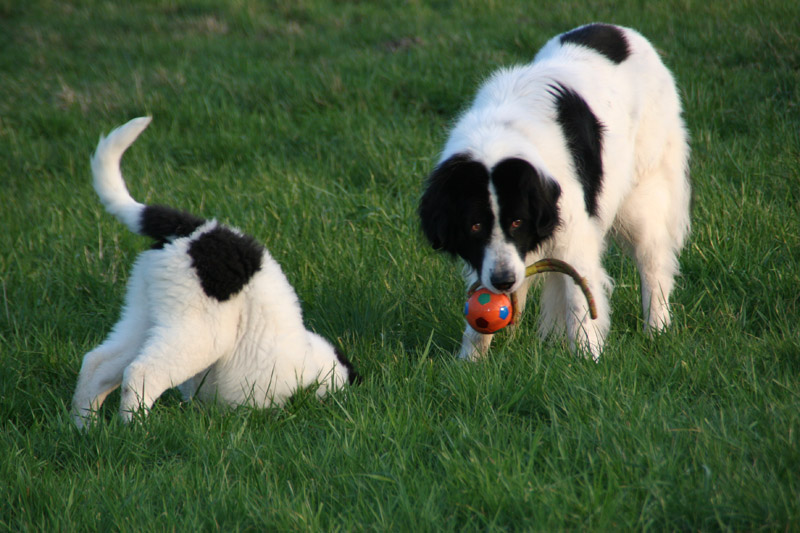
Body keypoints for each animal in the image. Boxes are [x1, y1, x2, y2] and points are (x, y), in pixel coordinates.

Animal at [73, 117, 358, 428]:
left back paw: (84, 428)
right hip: (200, 328)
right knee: (142, 372)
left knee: (97, 364)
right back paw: (137, 429)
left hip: (145, 311)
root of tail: (195, 229)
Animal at [416, 22, 692, 360]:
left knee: (653, 263)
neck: (498, 138)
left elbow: (580, 300)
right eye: (475, 226)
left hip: (643, 195)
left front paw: (588, 358)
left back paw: (657, 329)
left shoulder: (574, 235)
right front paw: (470, 361)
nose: (504, 280)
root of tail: (620, 30)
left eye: (517, 222)